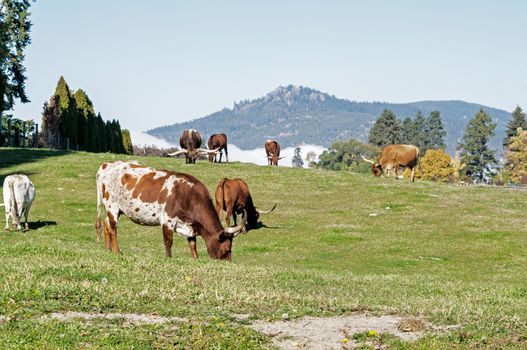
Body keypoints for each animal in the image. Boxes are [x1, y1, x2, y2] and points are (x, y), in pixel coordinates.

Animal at [96, 161, 246, 260]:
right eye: (227, 248)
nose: (228, 263)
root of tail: (106, 165)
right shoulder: (168, 220)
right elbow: (168, 241)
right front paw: (168, 258)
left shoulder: (189, 224)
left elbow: (192, 244)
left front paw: (195, 259)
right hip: (112, 206)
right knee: (113, 228)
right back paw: (116, 251)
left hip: (115, 209)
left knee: (106, 225)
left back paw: (108, 250)